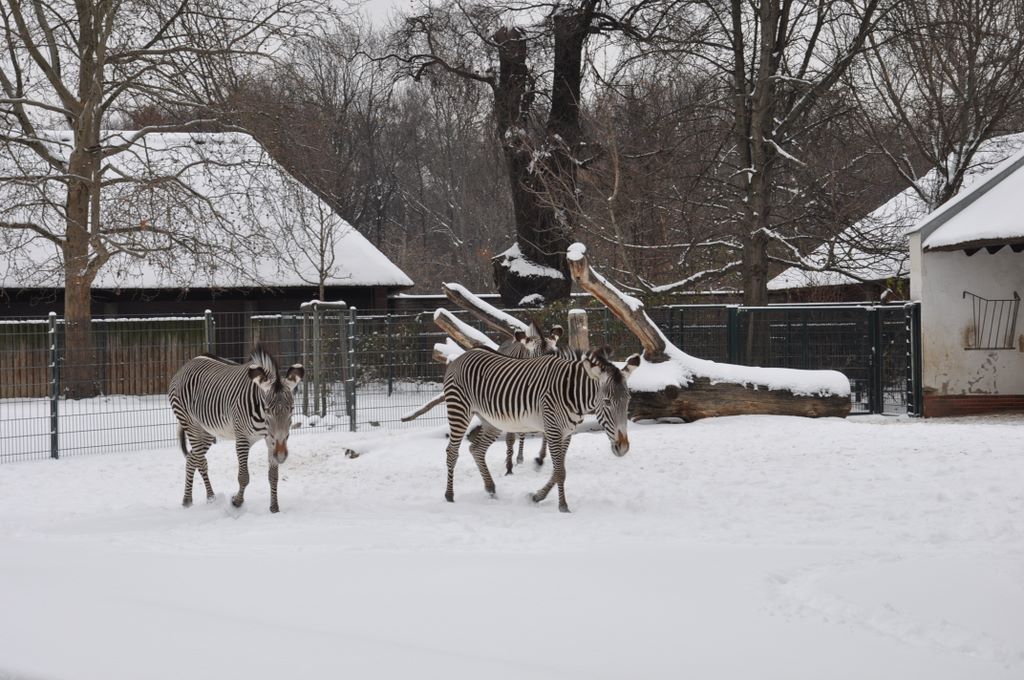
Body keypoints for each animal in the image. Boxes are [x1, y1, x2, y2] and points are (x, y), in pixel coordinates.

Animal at [168, 346, 304, 513]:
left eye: (291, 409)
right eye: (267, 410)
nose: (281, 455)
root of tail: (189, 362)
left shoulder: (271, 439)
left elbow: (273, 476)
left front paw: (274, 508)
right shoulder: (243, 438)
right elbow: (244, 477)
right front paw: (236, 502)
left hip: (207, 431)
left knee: (192, 457)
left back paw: (197, 499)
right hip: (190, 424)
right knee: (200, 459)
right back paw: (201, 498)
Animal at [443, 346, 641, 512]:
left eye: (628, 400)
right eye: (607, 402)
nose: (623, 447)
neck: (571, 392)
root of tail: (461, 356)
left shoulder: (566, 434)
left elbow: (557, 470)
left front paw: (537, 496)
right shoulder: (553, 430)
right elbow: (560, 471)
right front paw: (563, 506)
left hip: (492, 422)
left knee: (476, 449)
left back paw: (491, 489)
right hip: (459, 410)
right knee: (452, 452)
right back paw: (449, 496)